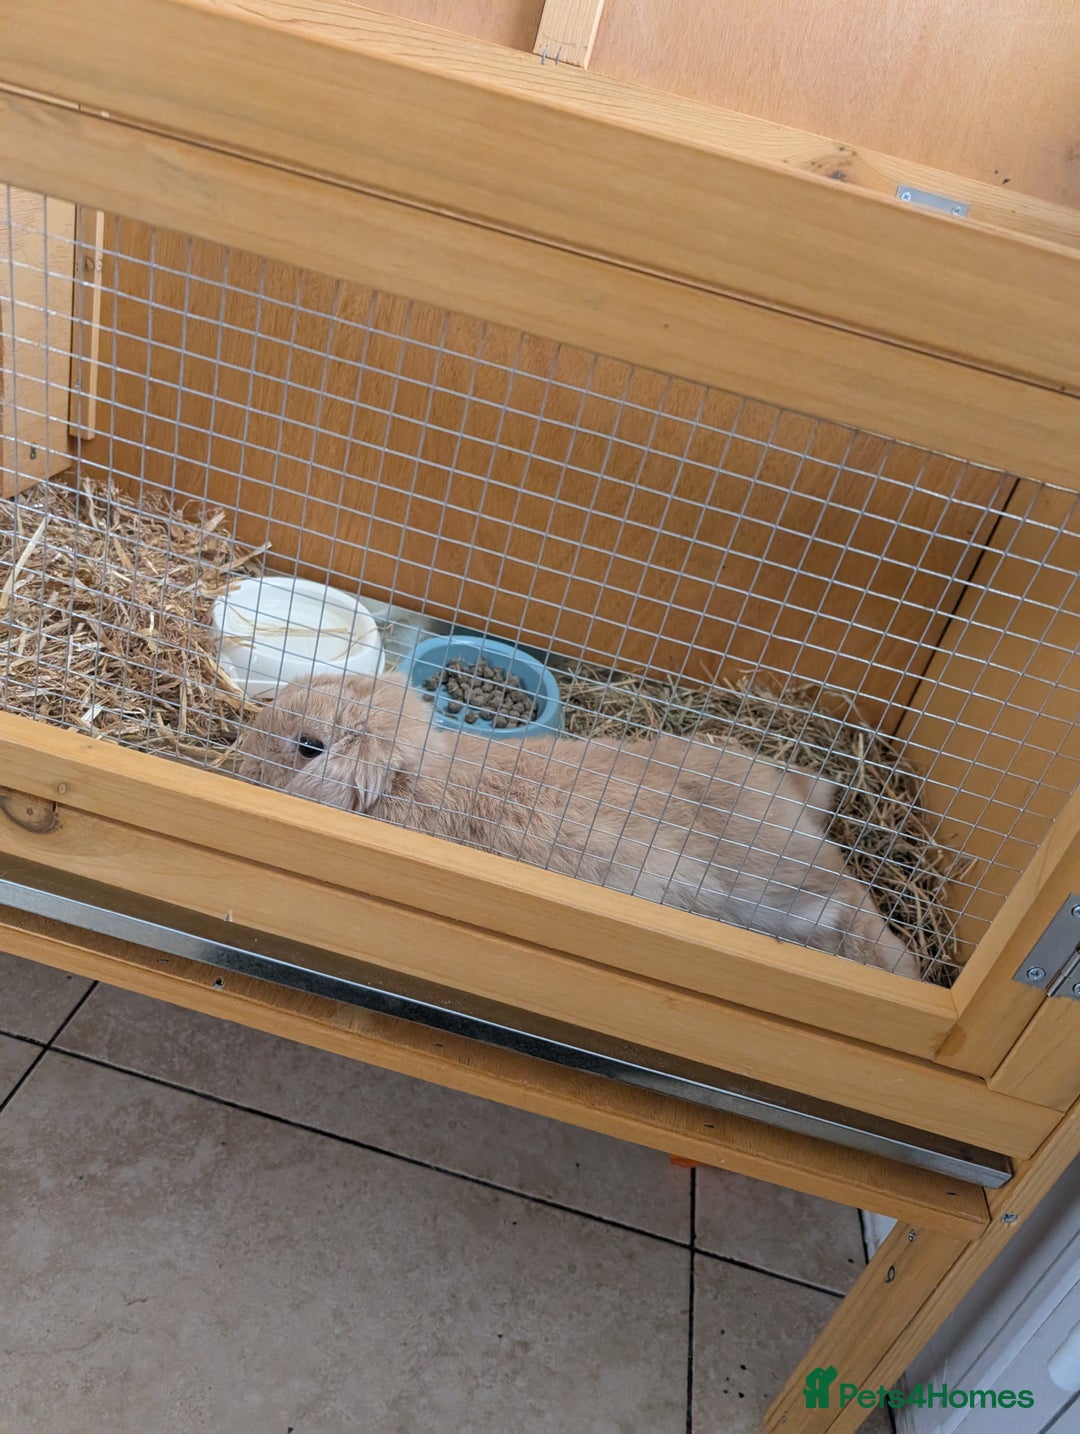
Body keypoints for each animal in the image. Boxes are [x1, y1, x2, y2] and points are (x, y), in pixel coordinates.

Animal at [237, 671, 920, 978]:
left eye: (307, 746)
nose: (242, 754)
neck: (413, 777)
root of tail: (797, 794)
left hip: (768, 878)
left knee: (853, 907)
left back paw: (901, 969)